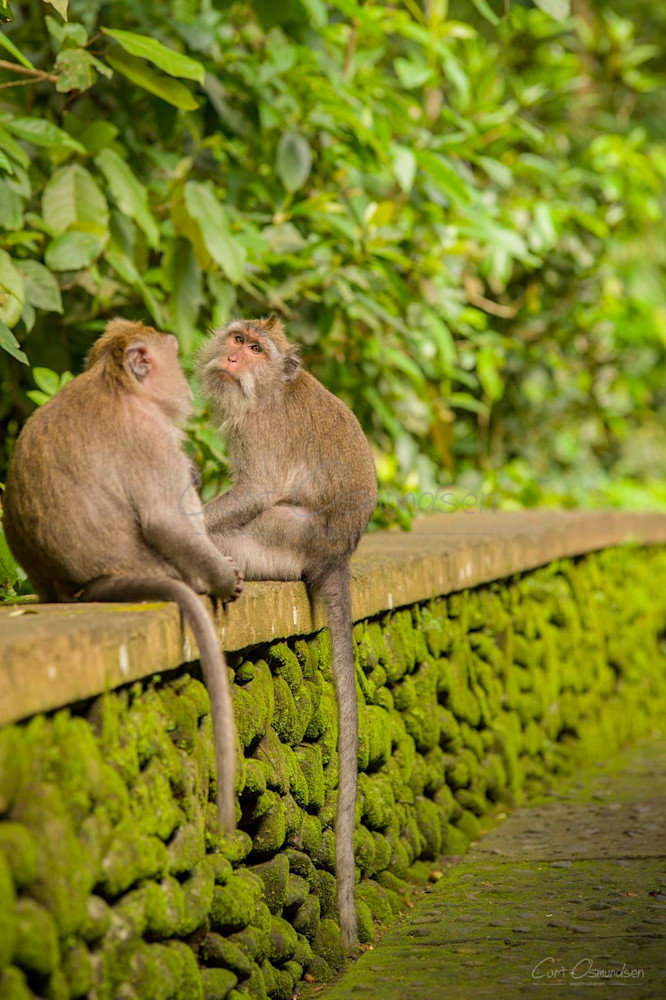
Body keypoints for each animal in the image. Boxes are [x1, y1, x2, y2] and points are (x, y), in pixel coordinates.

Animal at [3, 319, 242, 832]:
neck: (117, 385)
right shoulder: (151, 438)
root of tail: (80, 588)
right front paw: (224, 578)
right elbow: (164, 519)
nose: (185, 384)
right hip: (159, 563)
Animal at [196, 315, 378, 951]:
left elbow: (254, 492)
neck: (269, 390)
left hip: (284, 540)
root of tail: (338, 555)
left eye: (256, 348)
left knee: (260, 521)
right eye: (237, 338)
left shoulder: (260, 430)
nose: (232, 356)